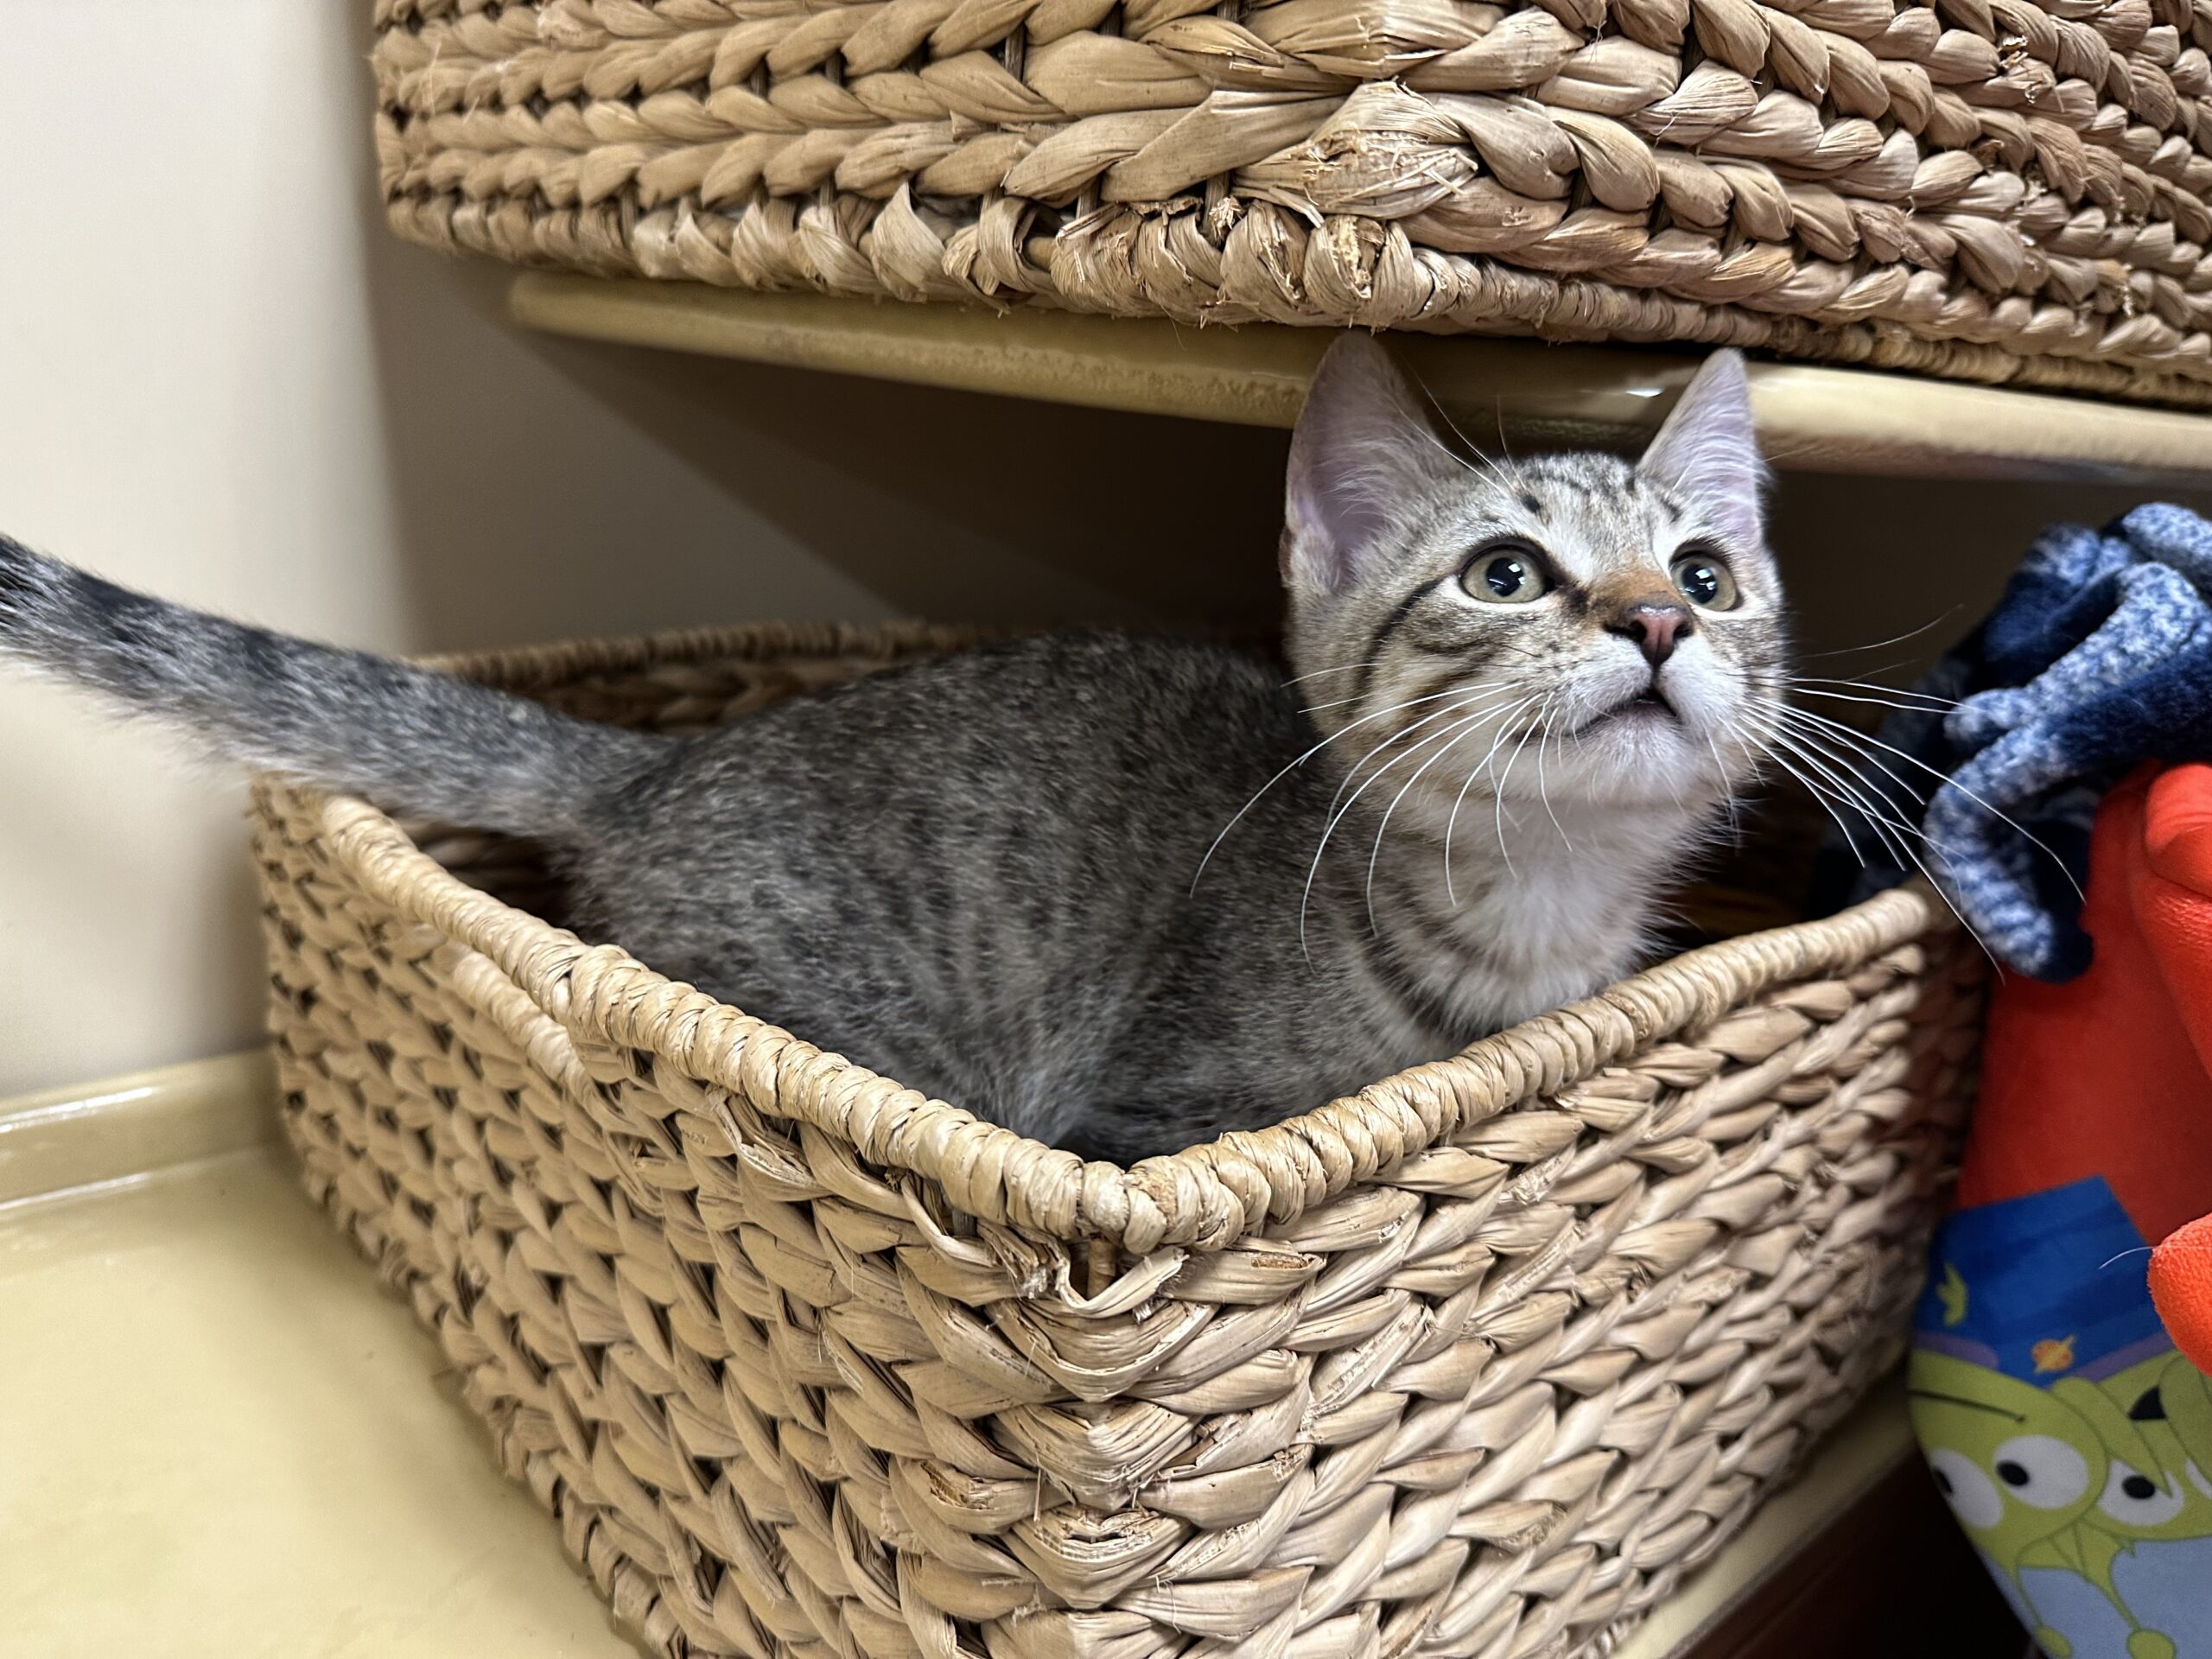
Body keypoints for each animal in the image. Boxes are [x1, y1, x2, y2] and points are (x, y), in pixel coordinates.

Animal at [0, 337, 1785, 1165]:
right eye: (1505, 573)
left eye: (1708, 574)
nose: (1656, 621)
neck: (1523, 920)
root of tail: (662, 769)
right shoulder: (1143, 1117)